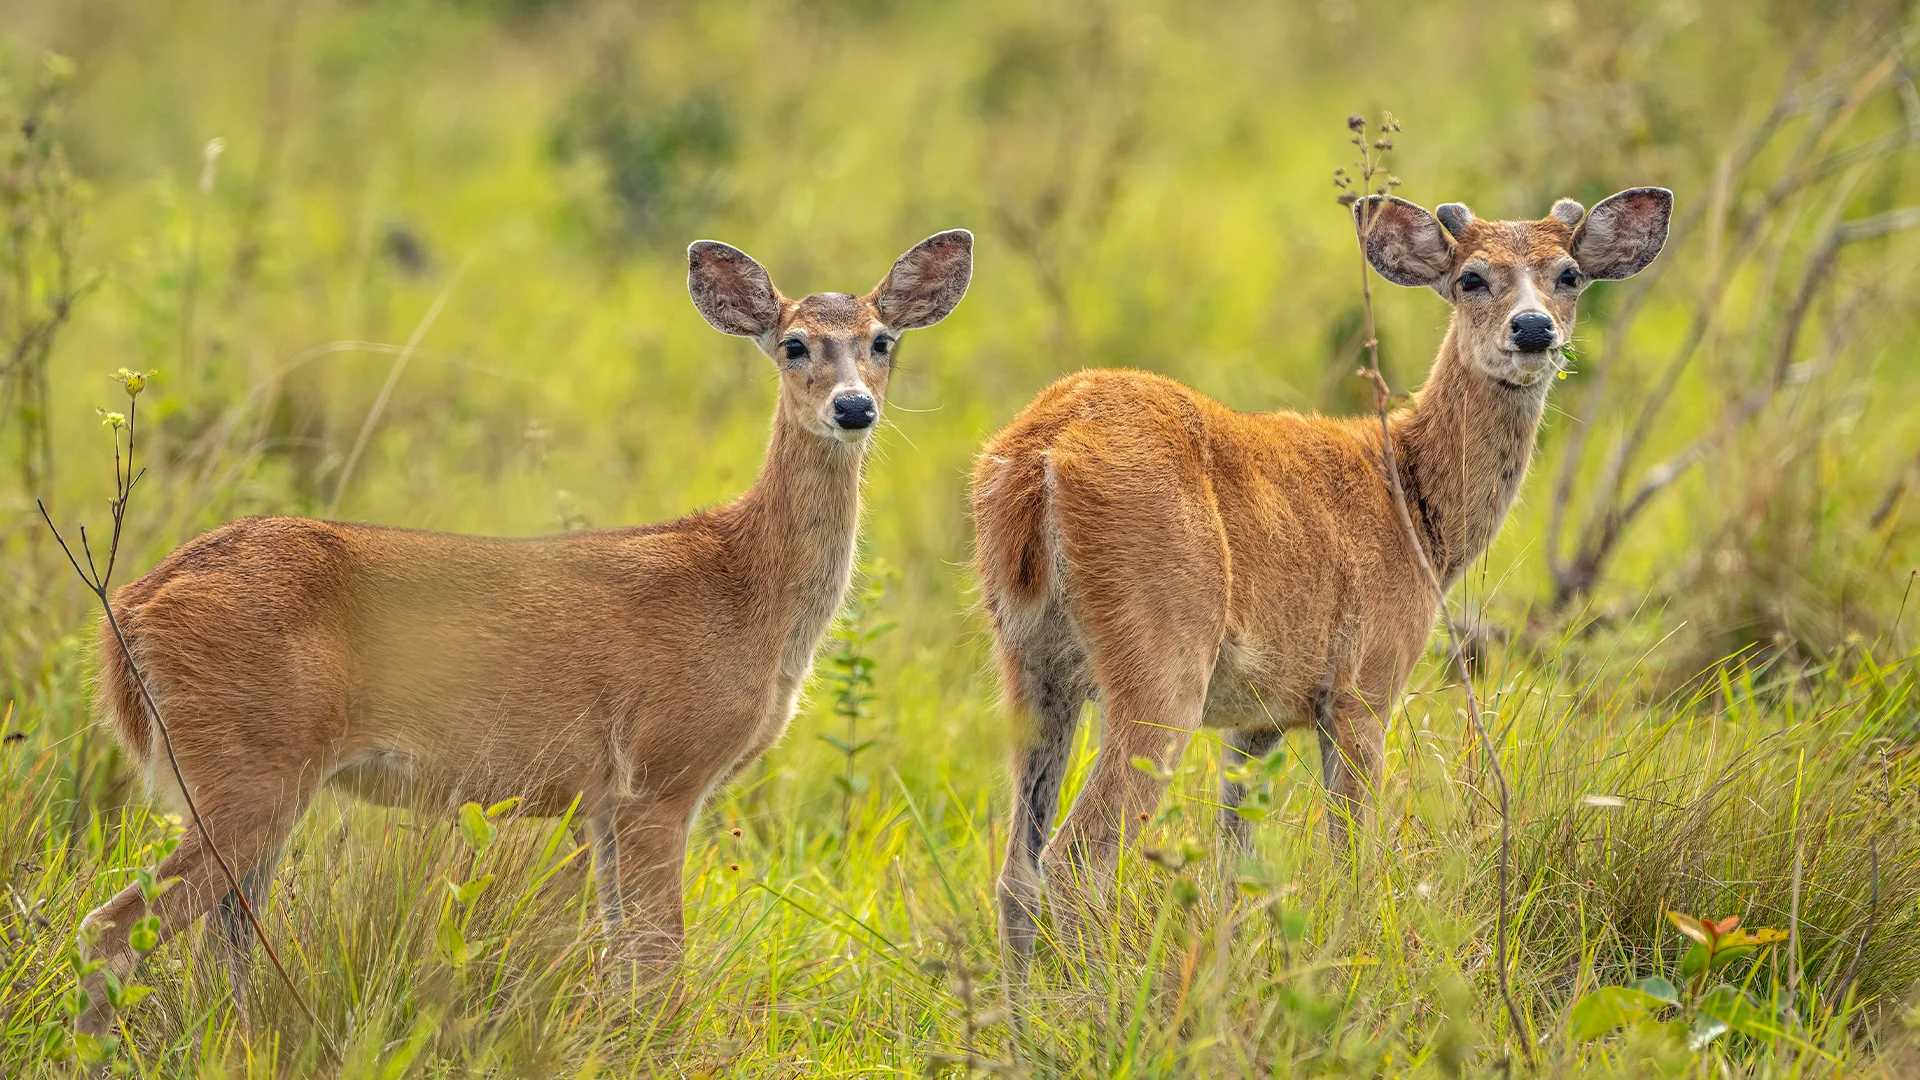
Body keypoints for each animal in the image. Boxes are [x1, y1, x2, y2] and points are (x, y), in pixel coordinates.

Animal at [74, 224, 975, 1022]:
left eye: (883, 340)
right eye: (793, 344)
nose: (853, 408)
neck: (747, 587)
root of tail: (132, 608)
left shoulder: (604, 803)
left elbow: (624, 962)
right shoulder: (661, 772)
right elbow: (660, 967)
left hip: (246, 776)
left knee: (221, 938)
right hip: (248, 762)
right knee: (112, 927)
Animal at [975, 187, 1666, 957]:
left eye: (1569, 274)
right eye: (1471, 278)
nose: (1533, 328)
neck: (1415, 506)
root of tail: (1039, 454)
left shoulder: (1260, 717)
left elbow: (1234, 866)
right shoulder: (1365, 685)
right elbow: (1354, 858)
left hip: (1031, 664)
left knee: (1018, 872)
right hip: (1161, 652)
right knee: (1076, 860)